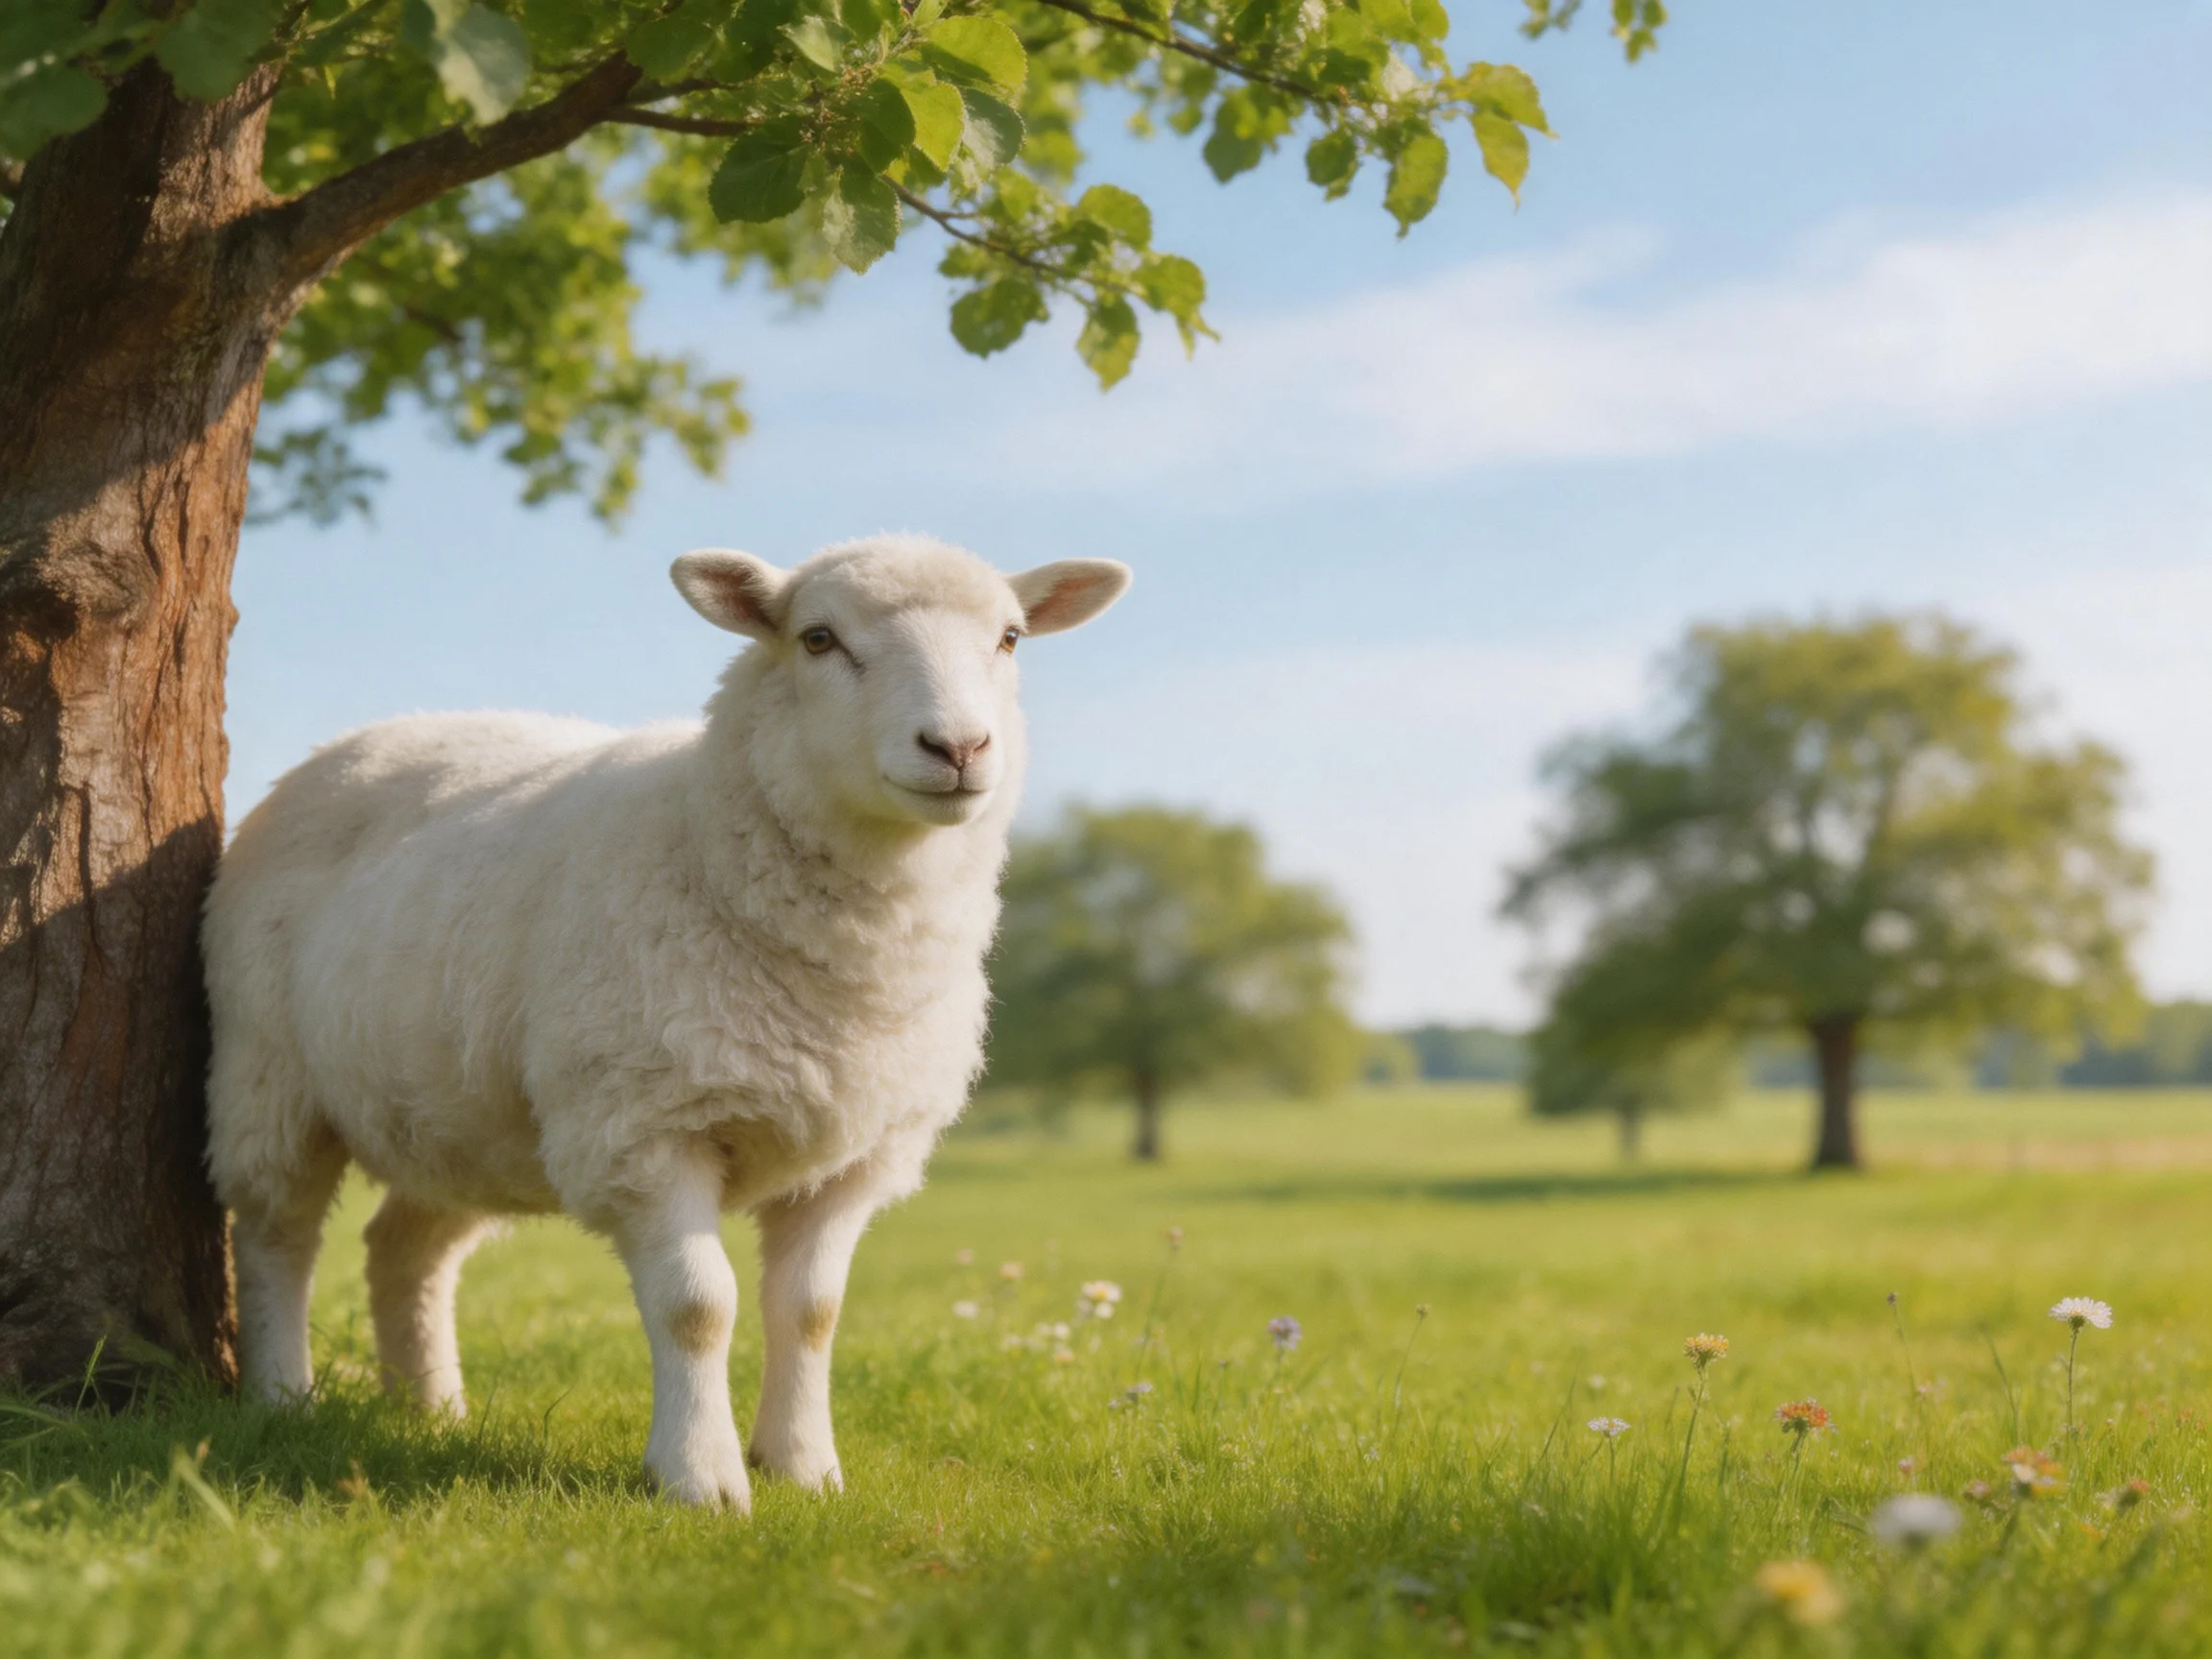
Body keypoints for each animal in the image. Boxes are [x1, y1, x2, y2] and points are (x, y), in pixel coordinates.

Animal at [203, 534, 1130, 1510]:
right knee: (275, 1234)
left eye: (1011, 639)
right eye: (818, 638)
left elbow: (812, 1313)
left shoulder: (855, 1156)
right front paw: (701, 1478)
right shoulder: (645, 1128)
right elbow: (698, 1307)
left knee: (404, 1250)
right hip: (266, 1073)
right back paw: (281, 1396)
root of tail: (368, 736)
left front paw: (805, 1467)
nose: (957, 746)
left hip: (457, 1111)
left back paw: (431, 1409)